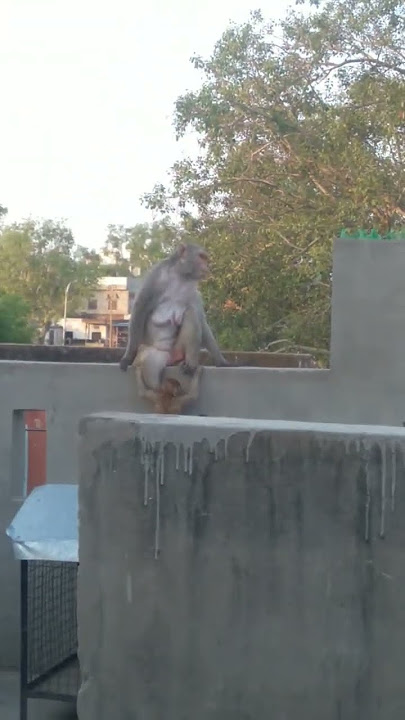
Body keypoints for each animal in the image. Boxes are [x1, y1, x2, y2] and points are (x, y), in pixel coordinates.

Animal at [119, 243, 228, 411]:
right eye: (202, 257)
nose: (207, 266)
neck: (181, 276)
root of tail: (171, 357)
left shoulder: (194, 290)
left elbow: (201, 320)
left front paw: (220, 360)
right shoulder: (155, 275)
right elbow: (140, 308)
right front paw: (128, 356)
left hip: (178, 348)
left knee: (191, 313)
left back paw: (190, 364)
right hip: (156, 353)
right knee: (151, 370)